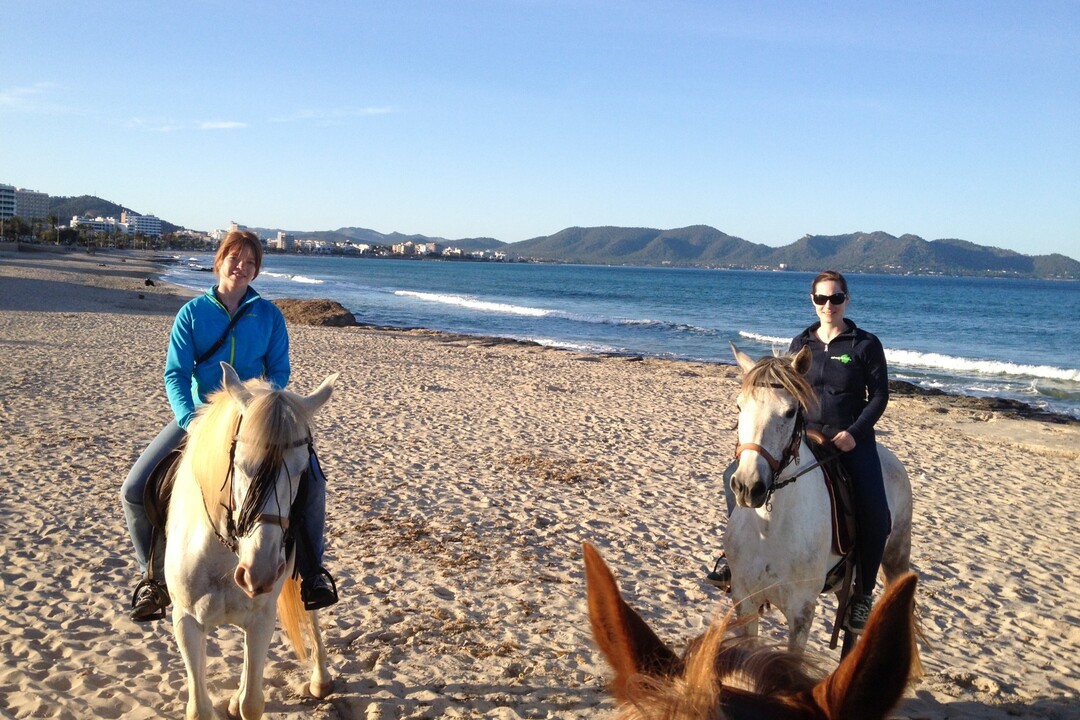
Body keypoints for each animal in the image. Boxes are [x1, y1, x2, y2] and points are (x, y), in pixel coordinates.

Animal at [165, 367, 336, 720]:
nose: (260, 572)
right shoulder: (186, 622)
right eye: (242, 464)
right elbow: (200, 709)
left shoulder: (260, 619)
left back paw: (320, 679)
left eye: (301, 470)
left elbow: (253, 704)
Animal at [721, 345, 915, 656]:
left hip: (895, 558)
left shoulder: (801, 613)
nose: (748, 487)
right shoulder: (745, 602)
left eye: (790, 412)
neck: (770, 528)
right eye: (740, 406)